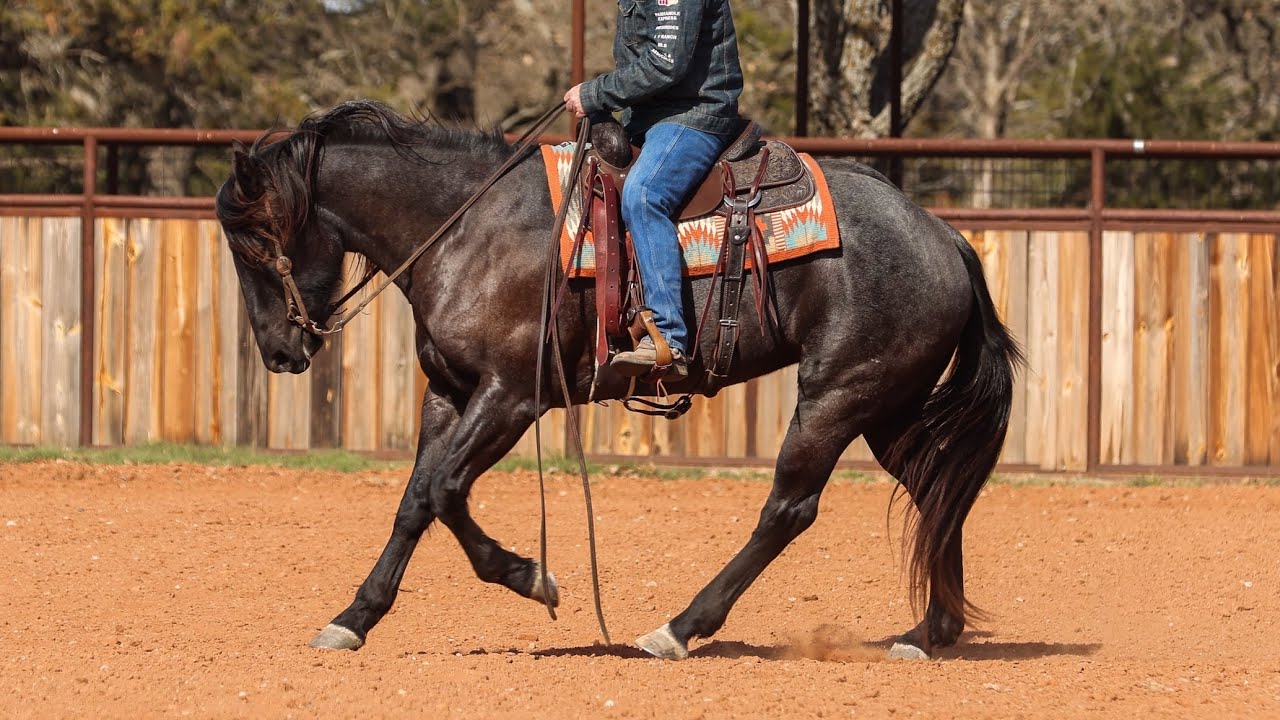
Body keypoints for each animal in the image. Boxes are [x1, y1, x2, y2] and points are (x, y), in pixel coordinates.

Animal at [215, 100, 1022, 661]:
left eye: (255, 245)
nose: (280, 351)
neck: (471, 228)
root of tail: (944, 235)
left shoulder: (512, 395)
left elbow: (445, 490)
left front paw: (532, 577)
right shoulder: (449, 392)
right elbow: (415, 502)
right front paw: (353, 619)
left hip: (836, 397)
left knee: (789, 509)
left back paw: (679, 628)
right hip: (887, 406)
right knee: (936, 490)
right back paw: (928, 630)